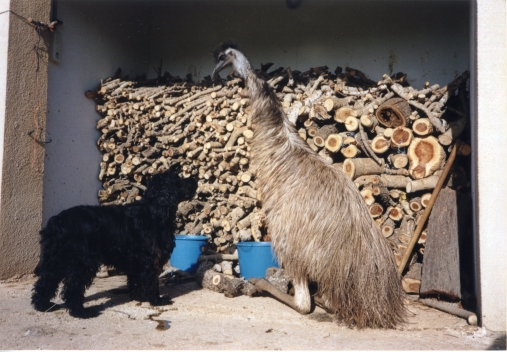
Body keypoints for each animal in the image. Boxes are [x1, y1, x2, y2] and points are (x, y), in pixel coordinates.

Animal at [30, 166, 196, 318]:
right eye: (178, 181)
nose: (194, 179)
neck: (154, 211)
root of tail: (57, 222)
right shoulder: (151, 258)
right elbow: (152, 282)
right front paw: (157, 300)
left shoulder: (136, 261)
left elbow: (136, 280)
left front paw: (139, 297)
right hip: (83, 262)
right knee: (72, 287)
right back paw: (81, 312)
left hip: (55, 260)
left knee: (45, 281)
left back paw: (43, 305)